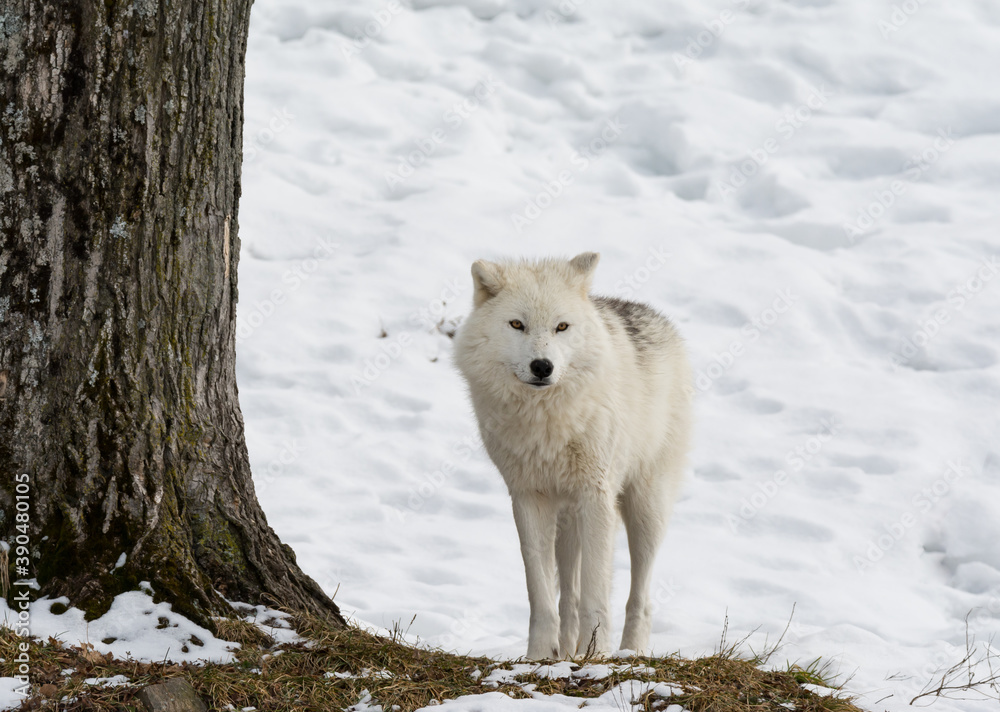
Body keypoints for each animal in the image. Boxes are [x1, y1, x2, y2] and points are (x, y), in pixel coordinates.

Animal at [453, 252, 692, 660]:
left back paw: (629, 653)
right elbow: (541, 592)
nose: (542, 366)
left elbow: (596, 592)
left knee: (639, 597)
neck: (545, 421)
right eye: (517, 324)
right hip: (567, 520)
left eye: (561, 327)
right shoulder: (527, 497)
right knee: (568, 593)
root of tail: (656, 316)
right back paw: (566, 651)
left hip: (645, 508)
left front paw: (596, 655)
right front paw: (539, 655)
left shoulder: (596, 495)